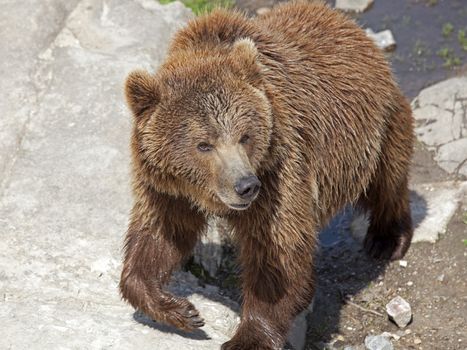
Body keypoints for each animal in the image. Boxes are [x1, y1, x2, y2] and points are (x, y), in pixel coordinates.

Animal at [119, 1, 414, 348]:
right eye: (204, 144)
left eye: (245, 136)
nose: (245, 186)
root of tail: (348, 25)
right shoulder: (167, 186)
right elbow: (159, 234)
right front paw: (180, 310)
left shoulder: (279, 172)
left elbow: (278, 257)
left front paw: (247, 337)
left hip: (376, 127)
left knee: (387, 179)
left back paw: (387, 239)